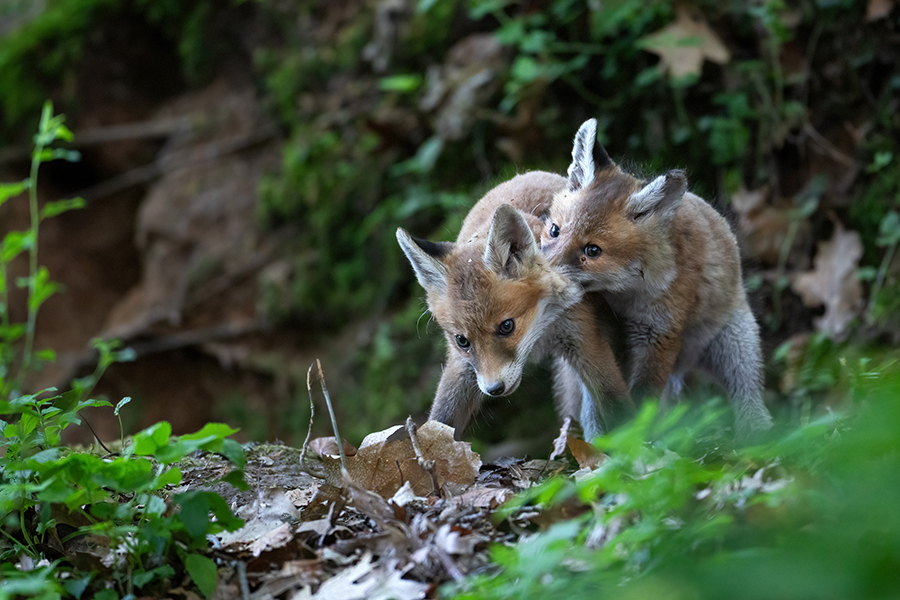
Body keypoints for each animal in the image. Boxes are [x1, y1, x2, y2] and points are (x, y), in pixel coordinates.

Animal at [396, 171, 633, 439]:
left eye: (507, 326)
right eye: (462, 340)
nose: (494, 389)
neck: (540, 333)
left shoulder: (583, 338)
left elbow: (617, 406)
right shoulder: (463, 365)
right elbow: (441, 420)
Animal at [540, 119, 773, 439]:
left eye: (592, 250)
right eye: (554, 231)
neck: (623, 298)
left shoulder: (658, 334)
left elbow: (644, 400)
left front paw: (638, 440)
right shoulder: (600, 334)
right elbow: (598, 402)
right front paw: (608, 443)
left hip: (735, 343)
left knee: (746, 392)